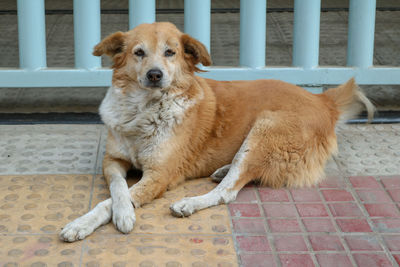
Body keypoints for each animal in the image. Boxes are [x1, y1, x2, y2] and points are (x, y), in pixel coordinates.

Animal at [59, 22, 376, 242]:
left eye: (170, 52)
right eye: (139, 53)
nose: (155, 74)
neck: (144, 109)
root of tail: (323, 101)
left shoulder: (160, 175)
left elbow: (108, 201)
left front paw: (99, 219)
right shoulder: (112, 160)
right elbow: (118, 188)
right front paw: (112, 212)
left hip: (265, 127)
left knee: (228, 192)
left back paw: (191, 202)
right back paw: (223, 169)